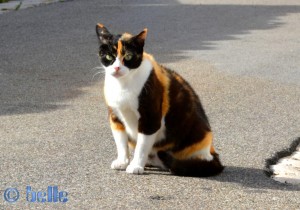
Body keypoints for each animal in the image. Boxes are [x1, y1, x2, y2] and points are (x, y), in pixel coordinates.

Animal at [95, 23, 224, 176]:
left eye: (128, 56)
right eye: (109, 56)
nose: (116, 68)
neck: (123, 85)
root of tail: (212, 152)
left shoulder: (150, 120)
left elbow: (142, 146)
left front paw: (136, 166)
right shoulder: (115, 117)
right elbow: (121, 143)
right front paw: (122, 161)